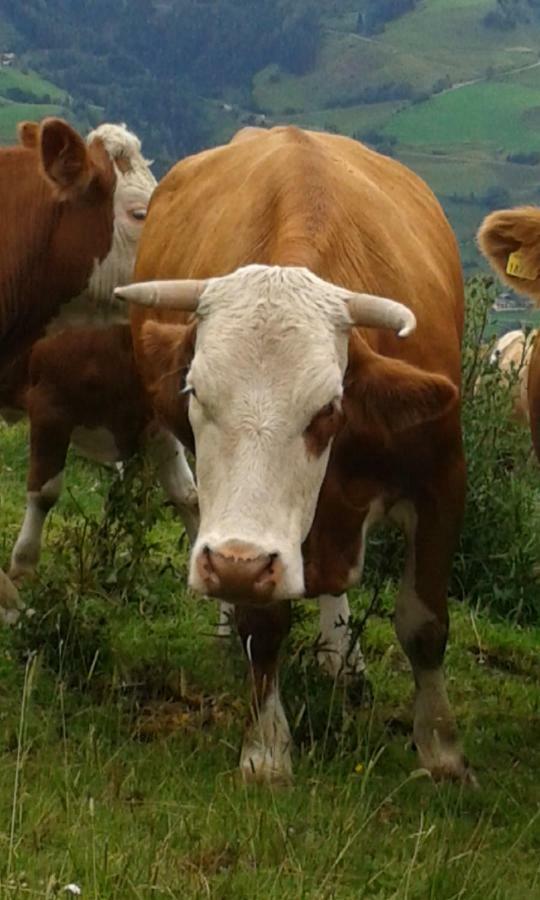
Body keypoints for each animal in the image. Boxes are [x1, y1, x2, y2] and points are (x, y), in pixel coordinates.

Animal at [118, 123, 468, 784]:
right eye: (194, 391)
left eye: (328, 409)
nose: (232, 566)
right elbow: (263, 624)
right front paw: (267, 748)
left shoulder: (440, 475)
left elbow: (425, 623)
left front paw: (441, 752)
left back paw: (339, 654)